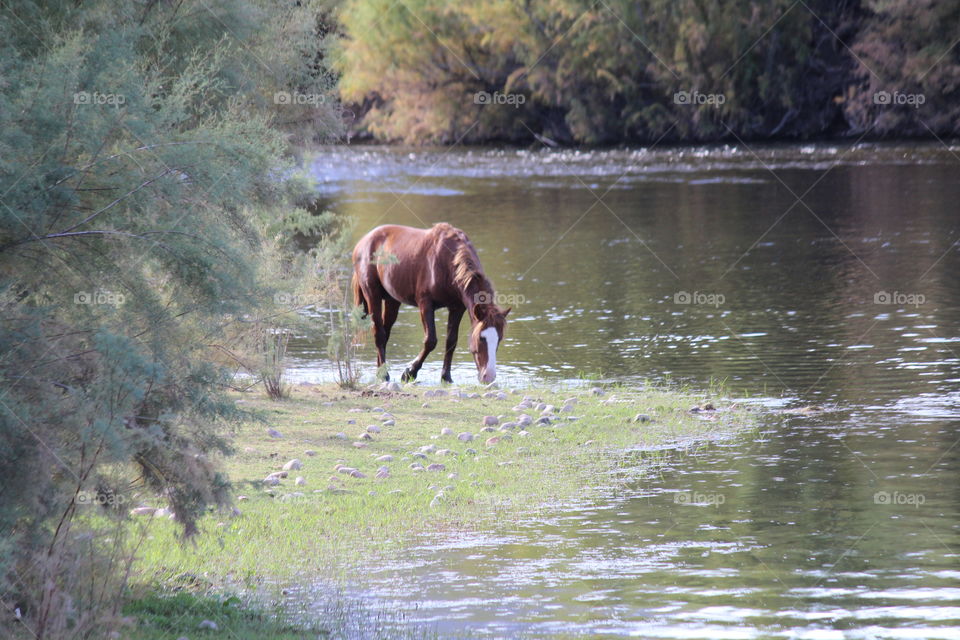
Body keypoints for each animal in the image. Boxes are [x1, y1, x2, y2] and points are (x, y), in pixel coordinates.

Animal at [351, 223, 510, 384]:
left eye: (499, 338)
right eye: (481, 338)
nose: (489, 376)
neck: (447, 261)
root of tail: (363, 242)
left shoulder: (457, 308)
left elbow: (451, 341)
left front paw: (446, 377)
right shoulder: (425, 304)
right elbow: (430, 341)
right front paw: (409, 372)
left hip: (392, 300)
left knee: (385, 332)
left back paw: (380, 371)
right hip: (372, 295)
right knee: (379, 334)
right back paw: (384, 375)